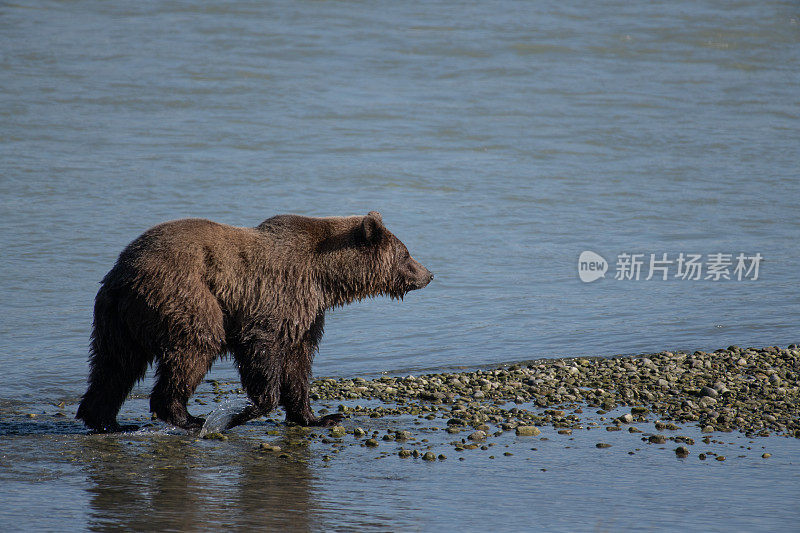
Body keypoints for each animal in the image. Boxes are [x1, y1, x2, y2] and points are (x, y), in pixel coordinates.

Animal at [76, 210, 432, 430]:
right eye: (406, 253)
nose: (428, 273)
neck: (325, 277)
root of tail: (125, 271)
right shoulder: (275, 296)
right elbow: (262, 349)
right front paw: (241, 413)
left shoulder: (306, 312)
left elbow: (299, 360)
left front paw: (317, 417)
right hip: (183, 294)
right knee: (195, 345)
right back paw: (187, 417)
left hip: (117, 316)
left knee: (115, 363)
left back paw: (106, 420)